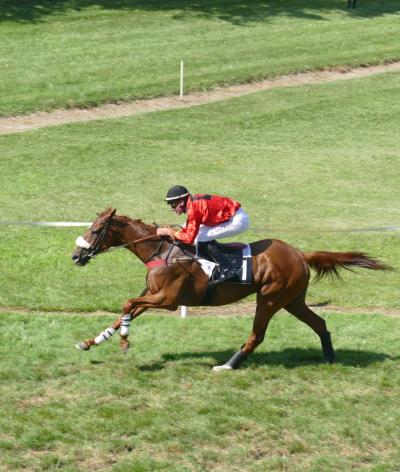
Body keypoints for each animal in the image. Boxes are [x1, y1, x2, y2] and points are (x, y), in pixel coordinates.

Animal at [71, 208, 390, 370]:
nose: (75, 256)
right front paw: (91, 341)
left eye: (96, 230)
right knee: (320, 323)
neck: (160, 250)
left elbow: (127, 304)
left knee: (257, 335)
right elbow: (125, 311)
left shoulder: (167, 299)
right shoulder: (152, 295)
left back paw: (229, 364)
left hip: (270, 299)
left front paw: (124, 343)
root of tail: (300, 253)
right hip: (293, 300)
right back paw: (330, 358)